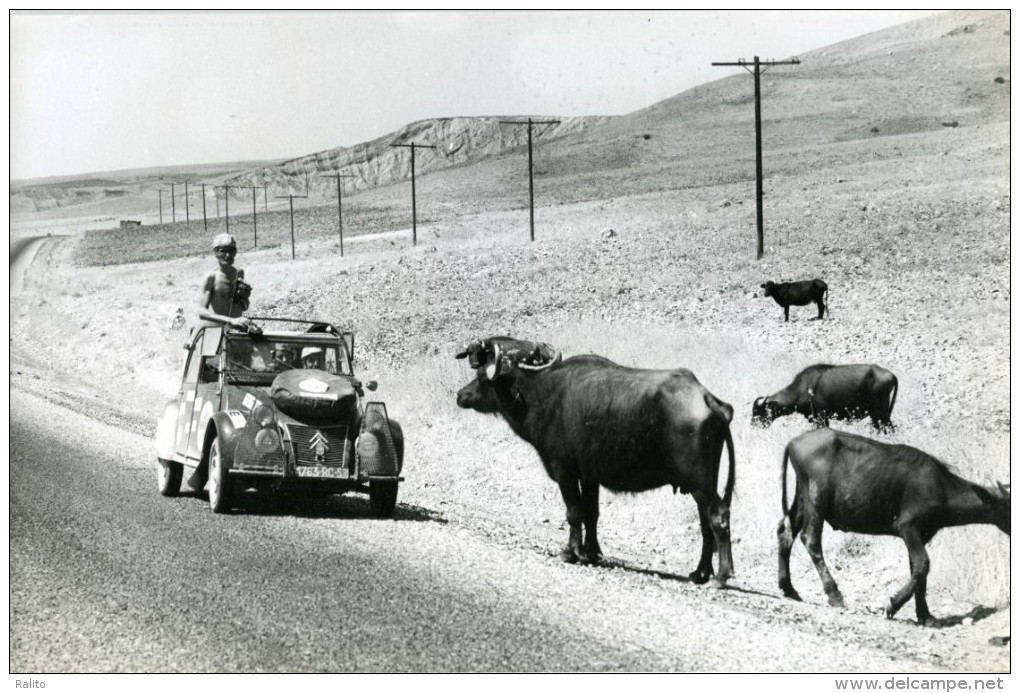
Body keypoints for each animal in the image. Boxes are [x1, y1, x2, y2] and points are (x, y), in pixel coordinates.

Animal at [454, 338, 734, 587]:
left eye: (482, 376)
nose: (461, 394)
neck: (541, 394)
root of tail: (707, 398)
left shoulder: (565, 472)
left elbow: (574, 512)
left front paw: (572, 552)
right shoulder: (590, 477)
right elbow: (592, 513)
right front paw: (591, 552)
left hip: (699, 483)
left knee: (718, 516)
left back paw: (720, 577)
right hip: (701, 484)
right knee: (705, 522)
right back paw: (700, 573)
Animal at [750, 363, 901, 432]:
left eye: (759, 411)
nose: (752, 425)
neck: (803, 389)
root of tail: (890, 374)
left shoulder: (822, 419)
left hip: (880, 414)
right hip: (878, 416)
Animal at [775, 428, 1007, 628]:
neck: (940, 487)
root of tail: (794, 441)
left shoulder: (921, 536)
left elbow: (918, 571)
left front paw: (925, 616)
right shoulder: (907, 527)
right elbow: (923, 565)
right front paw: (893, 605)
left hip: (803, 499)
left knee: (785, 532)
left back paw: (789, 588)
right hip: (816, 501)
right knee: (810, 539)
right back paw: (834, 595)